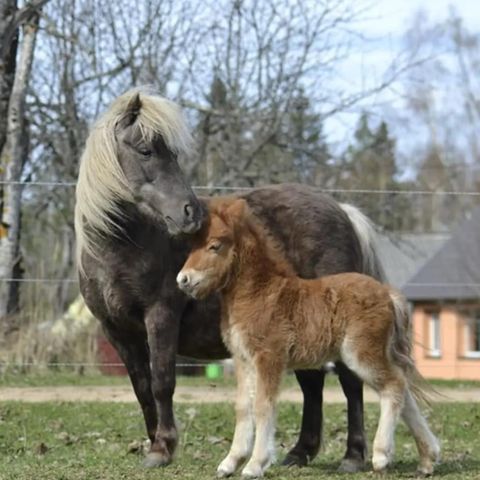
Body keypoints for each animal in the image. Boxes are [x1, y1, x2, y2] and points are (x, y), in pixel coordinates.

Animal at [74, 87, 382, 472]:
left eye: (171, 153)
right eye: (146, 151)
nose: (191, 213)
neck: (125, 247)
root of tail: (342, 211)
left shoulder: (161, 317)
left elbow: (162, 382)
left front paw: (163, 447)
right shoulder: (116, 331)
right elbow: (142, 387)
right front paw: (154, 443)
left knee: (350, 383)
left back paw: (353, 456)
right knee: (312, 385)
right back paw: (299, 453)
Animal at [176, 197, 438, 478]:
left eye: (214, 246)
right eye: (192, 246)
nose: (183, 279)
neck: (260, 293)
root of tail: (388, 294)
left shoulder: (269, 358)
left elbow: (263, 407)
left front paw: (255, 464)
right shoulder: (243, 360)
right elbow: (243, 408)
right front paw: (230, 462)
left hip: (361, 354)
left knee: (394, 385)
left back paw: (381, 456)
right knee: (403, 389)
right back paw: (427, 459)